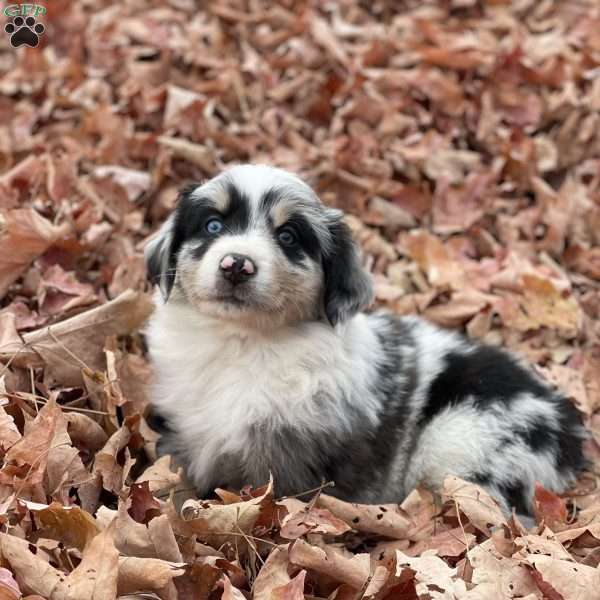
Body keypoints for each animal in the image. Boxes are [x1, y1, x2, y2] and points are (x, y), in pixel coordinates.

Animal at [143, 164, 584, 516]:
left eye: (287, 236)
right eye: (213, 226)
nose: (236, 264)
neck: (242, 341)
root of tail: (569, 426)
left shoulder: (287, 458)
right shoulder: (184, 433)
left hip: (465, 442)